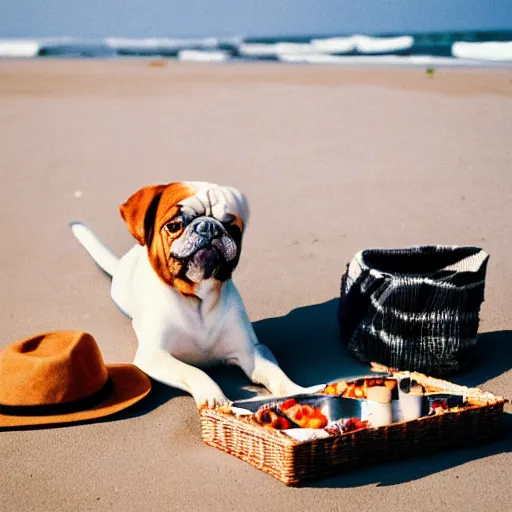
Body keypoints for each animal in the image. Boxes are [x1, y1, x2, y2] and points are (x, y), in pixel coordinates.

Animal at [69, 182, 306, 406]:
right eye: (174, 226)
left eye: (233, 229)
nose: (210, 227)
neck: (197, 299)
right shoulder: (154, 356)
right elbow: (195, 371)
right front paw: (214, 397)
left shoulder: (251, 350)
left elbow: (276, 374)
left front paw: (298, 391)